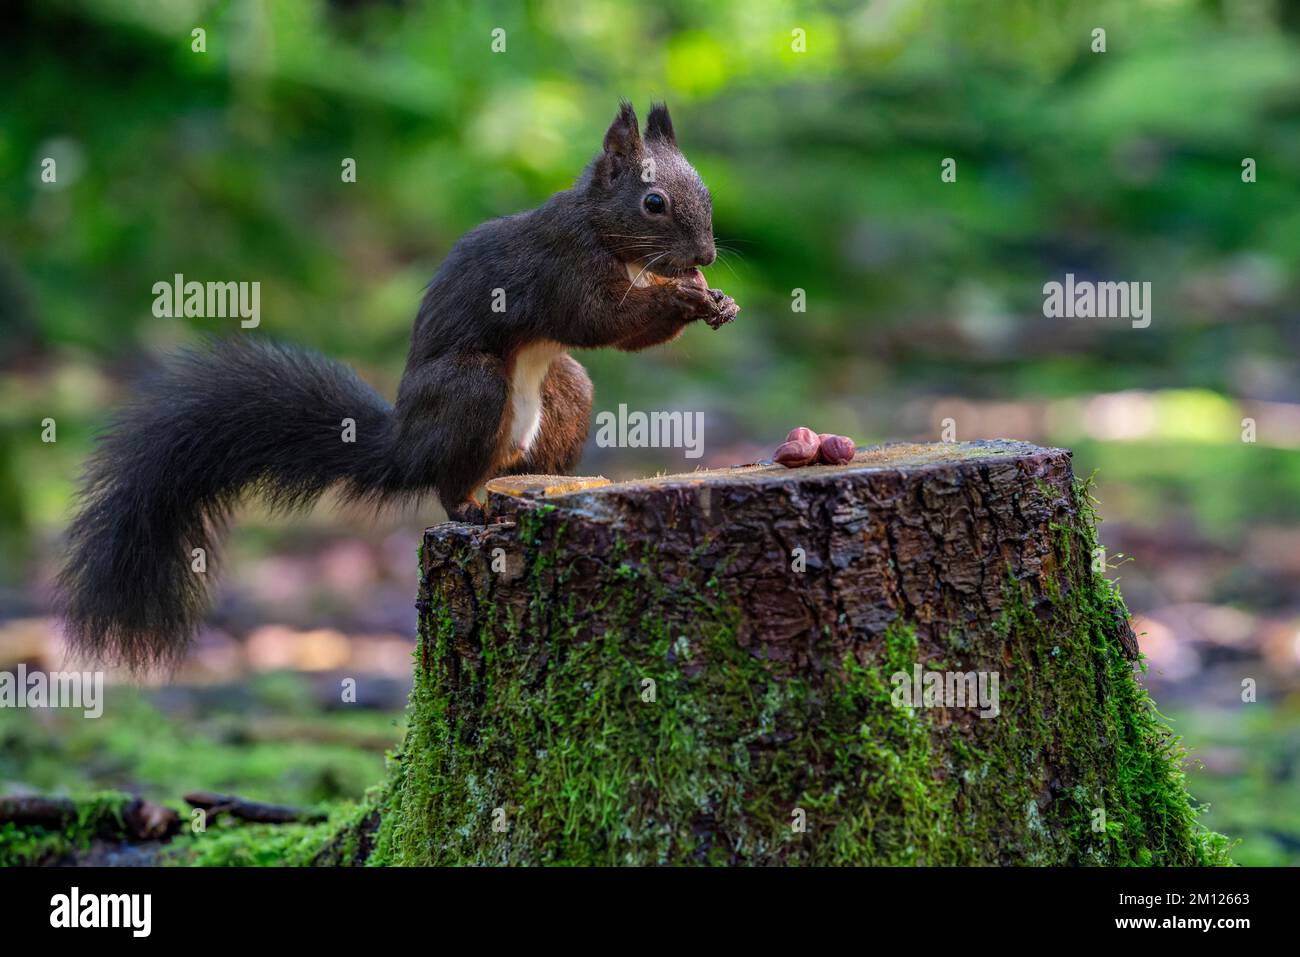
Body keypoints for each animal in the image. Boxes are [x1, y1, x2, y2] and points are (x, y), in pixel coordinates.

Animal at [58, 100, 743, 670]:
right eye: (653, 202)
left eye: (706, 192)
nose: (706, 257)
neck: (603, 229)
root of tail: (407, 444)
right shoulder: (563, 266)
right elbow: (602, 319)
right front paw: (686, 298)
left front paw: (718, 301)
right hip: (472, 389)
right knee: (446, 483)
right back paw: (468, 508)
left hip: (564, 393)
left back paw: (541, 486)